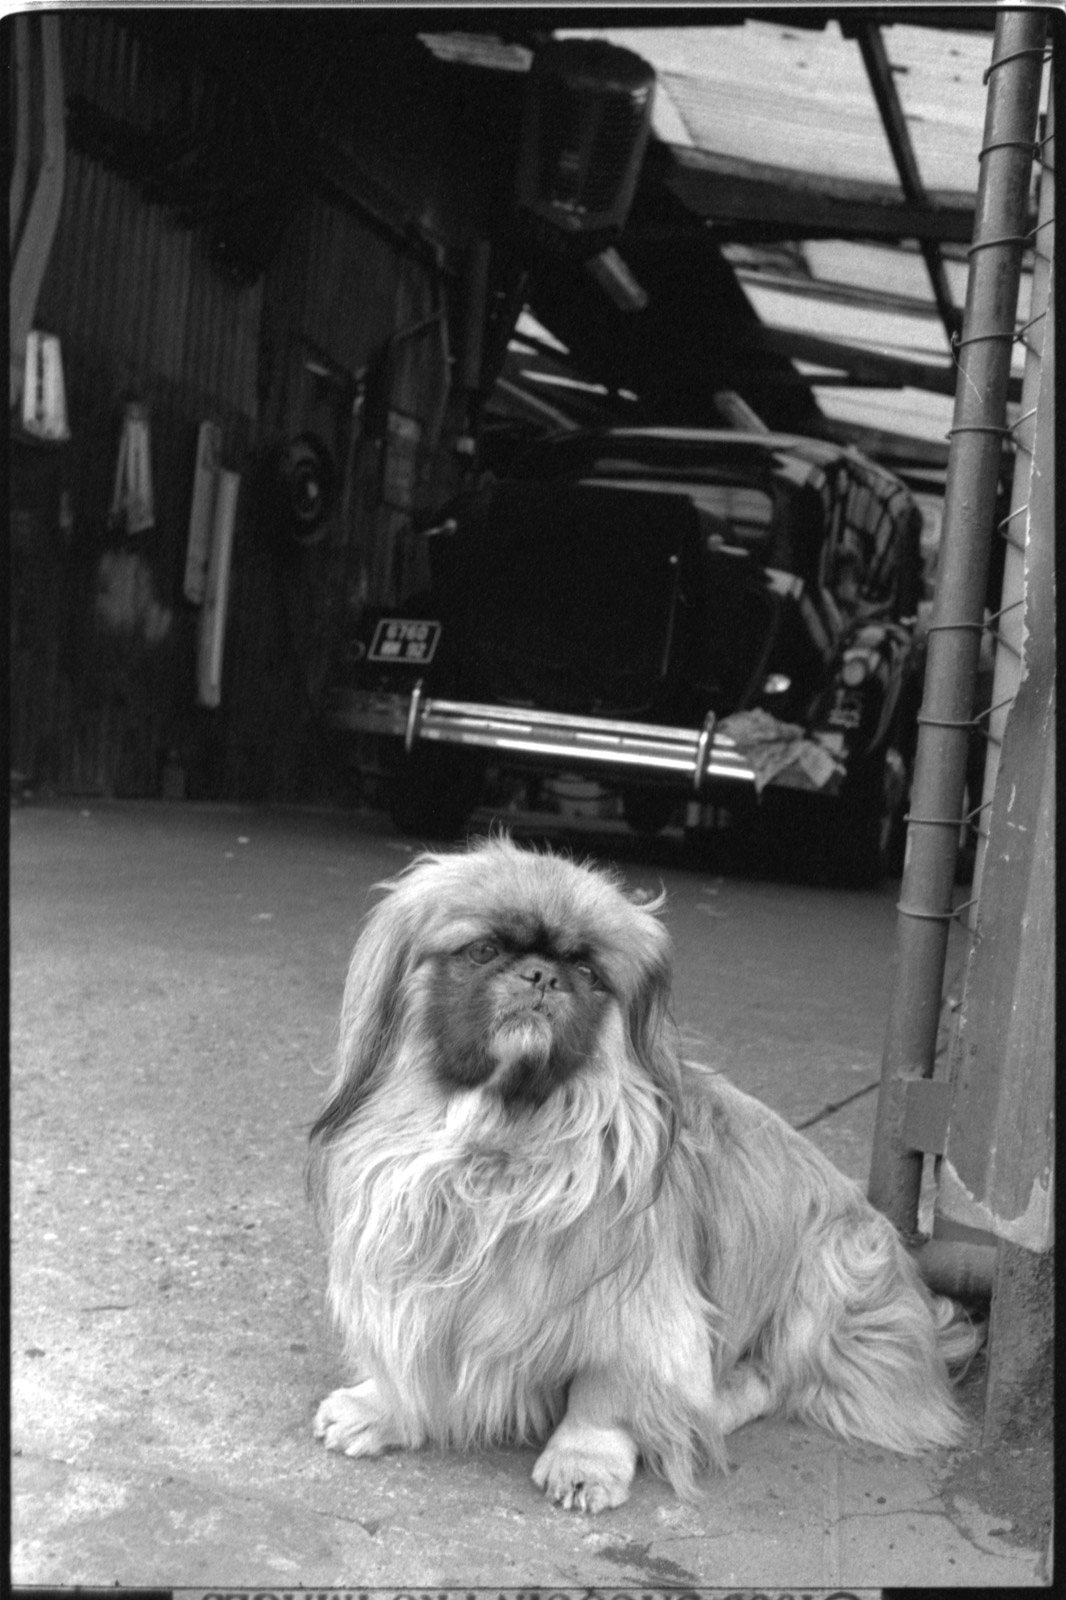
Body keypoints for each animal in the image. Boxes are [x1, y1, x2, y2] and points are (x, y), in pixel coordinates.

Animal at [302, 838, 973, 1510]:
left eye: (587, 972)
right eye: (484, 950)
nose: (541, 975)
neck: (500, 1144)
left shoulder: (636, 1316)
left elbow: (604, 1396)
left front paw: (585, 1460)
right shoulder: (412, 1277)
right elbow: (410, 1363)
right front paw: (381, 1408)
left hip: (828, 1273)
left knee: (776, 1377)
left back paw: (714, 1405)